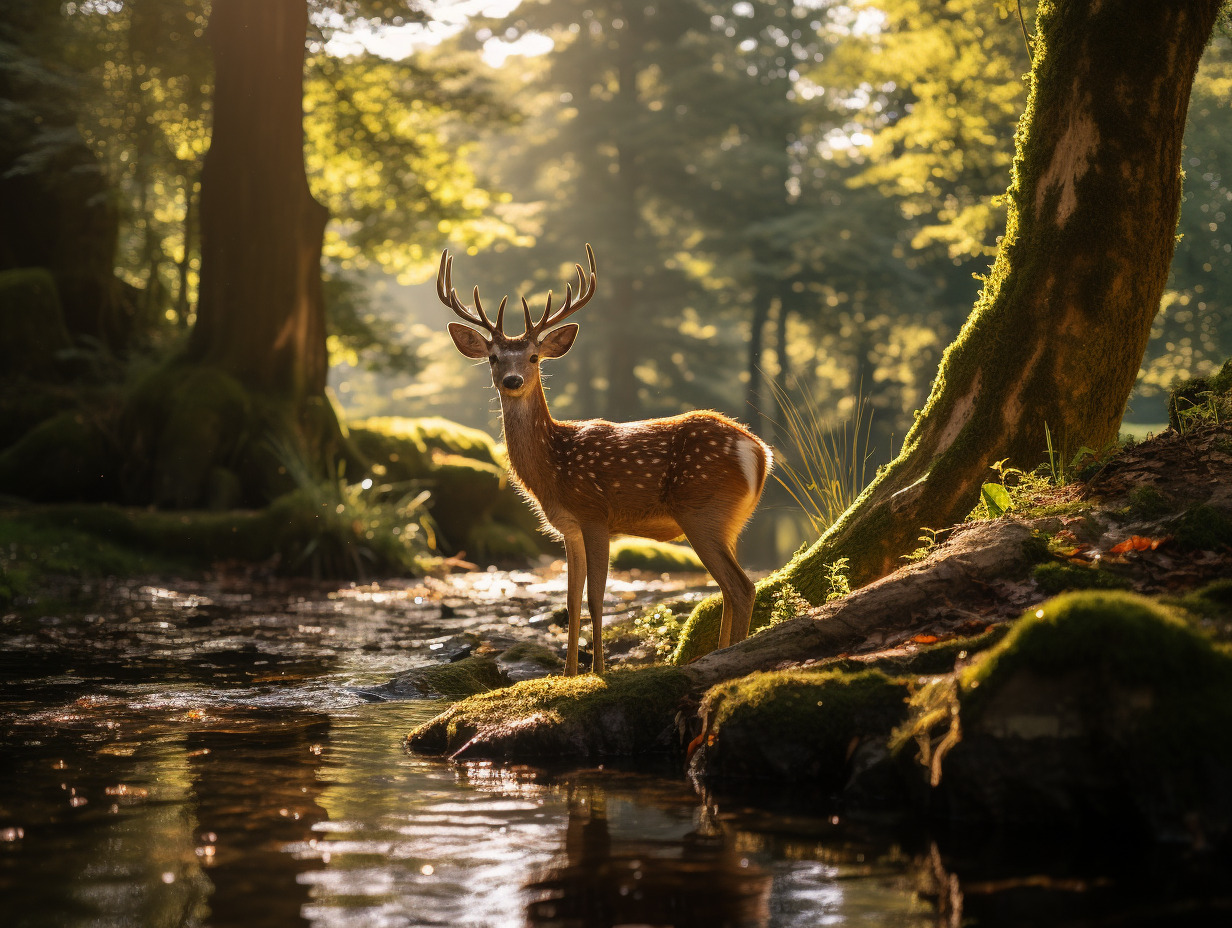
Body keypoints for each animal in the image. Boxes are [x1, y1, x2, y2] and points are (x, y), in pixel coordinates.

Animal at [441, 242, 768, 675]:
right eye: (493, 357)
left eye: (533, 357)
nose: (512, 381)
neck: (553, 466)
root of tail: (760, 452)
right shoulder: (568, 527)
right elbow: (571, 601)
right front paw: (567, 674)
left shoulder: (595, 514)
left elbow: (596, 599)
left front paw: (597, 671)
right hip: (728, 520)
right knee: (728, 589)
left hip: (701, 509)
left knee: (741, 586)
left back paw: (732, 655)